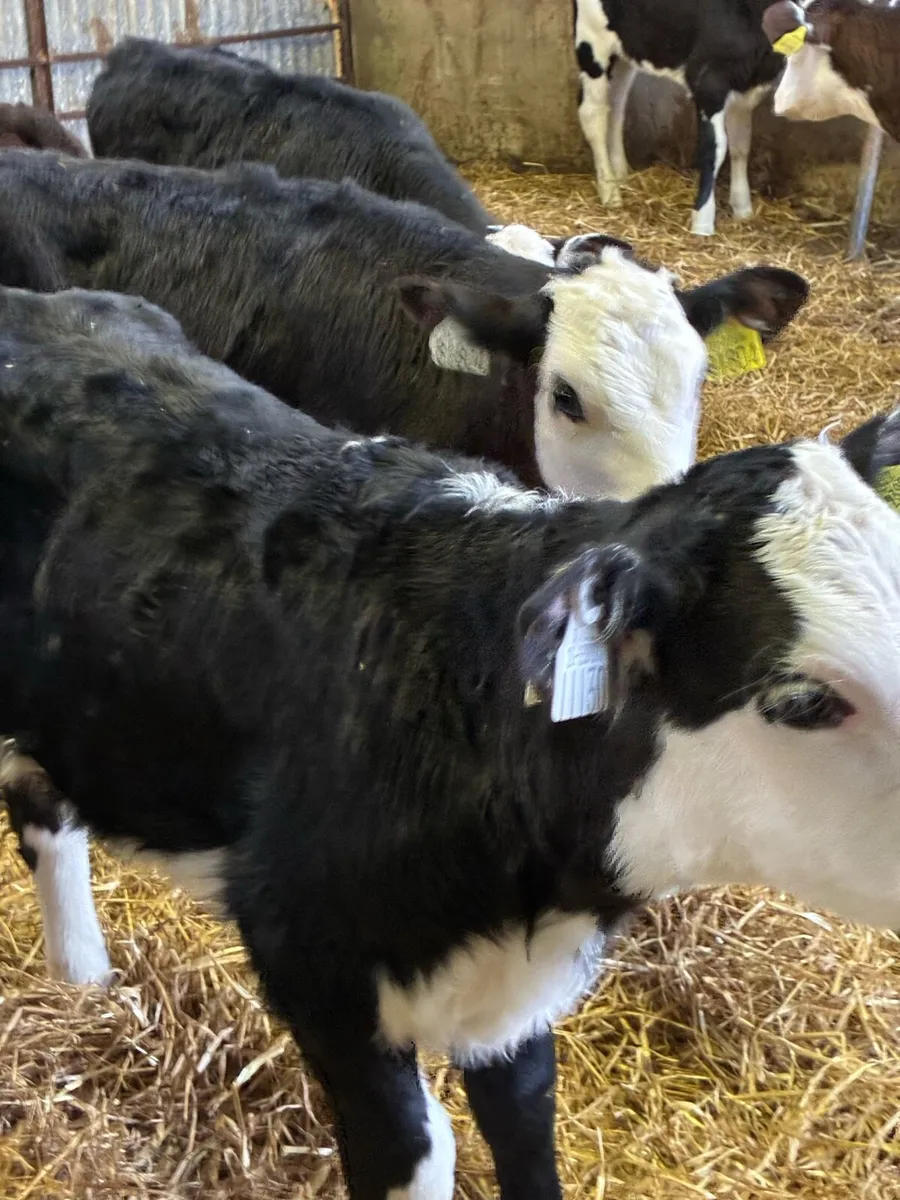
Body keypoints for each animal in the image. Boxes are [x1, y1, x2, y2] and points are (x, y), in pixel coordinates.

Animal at [3, 282, 900, 1200]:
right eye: (805, 700)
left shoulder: (512, 1004)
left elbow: (526, 1126)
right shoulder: (313, 963)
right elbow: (419, 1144)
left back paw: (86, 985)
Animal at [573, 0, 811, 234]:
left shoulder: (748, 88)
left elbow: (741, 147)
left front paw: (743, 209)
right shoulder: (708, 83)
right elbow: (714, 149)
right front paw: (702, 222)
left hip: (629, 49)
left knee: (616, 106)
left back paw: (621, 175)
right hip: (592, 41)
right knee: (593, 115)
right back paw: (609, 191)